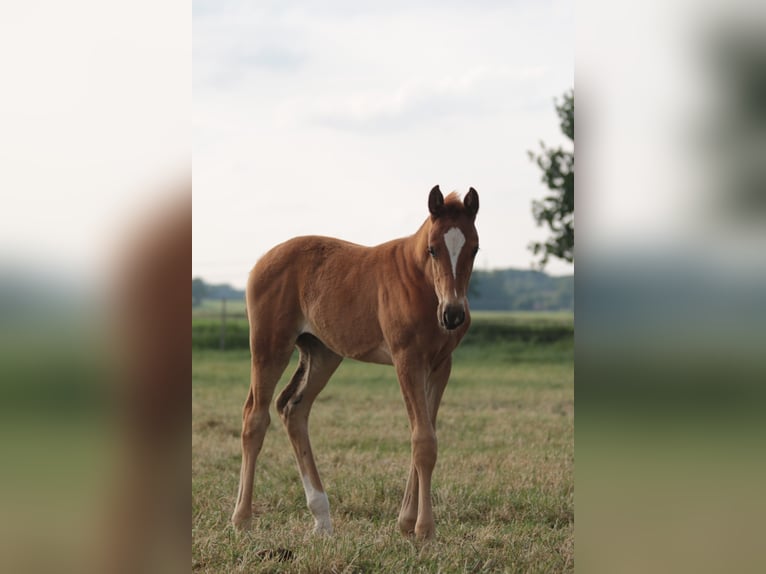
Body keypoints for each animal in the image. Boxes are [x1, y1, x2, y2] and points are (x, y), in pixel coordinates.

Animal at [231, 187, 480, 544]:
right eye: (433, 249)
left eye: (474, 249)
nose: (453, 314)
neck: (419, 283)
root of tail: (262, 261)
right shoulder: (407, 359)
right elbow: (423, 440)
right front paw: (424, 529)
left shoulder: (440, 365)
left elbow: (426, 434)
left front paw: (407, 521)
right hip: (269, 345)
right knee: (255, 417)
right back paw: (242, 519)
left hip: (322, 353)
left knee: (293, 408)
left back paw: (321, 518)